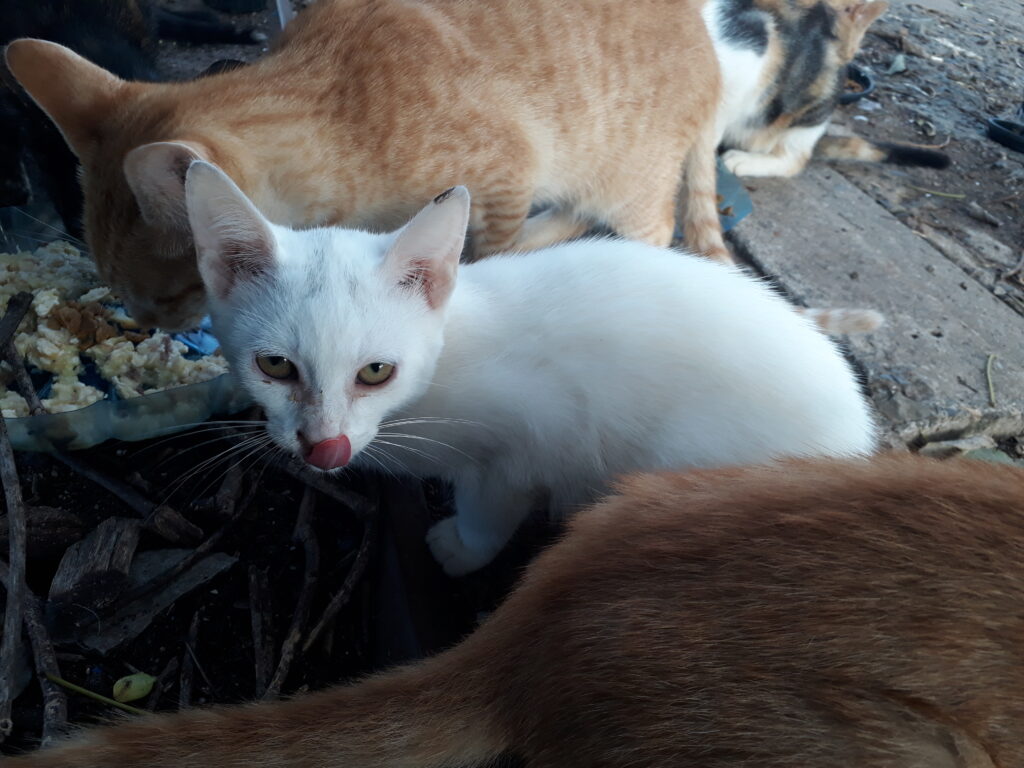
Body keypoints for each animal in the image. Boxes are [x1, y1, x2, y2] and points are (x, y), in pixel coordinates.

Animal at [6, 0, 729, 331]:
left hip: (626, 181)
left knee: (652, 228)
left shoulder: (505, 176)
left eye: (165, 296)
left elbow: (483, 255)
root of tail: (714, 60)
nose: (147, 326)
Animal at [182, 162, 872, 577]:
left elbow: (492, 505)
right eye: (275, 365)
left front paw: (460, 549)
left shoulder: (533, 436)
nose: (324, 448)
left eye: (376, 371)